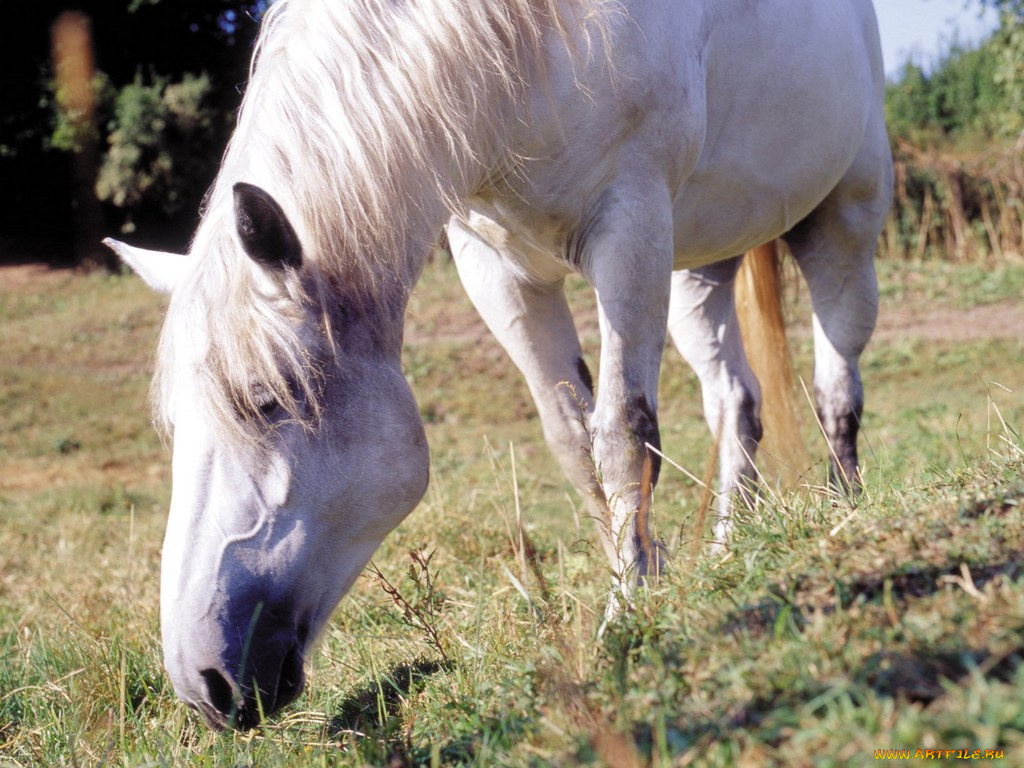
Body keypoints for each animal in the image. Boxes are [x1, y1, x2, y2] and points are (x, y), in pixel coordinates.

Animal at [103, 0, 888, 729]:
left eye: (267, 399)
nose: (205, 685)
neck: (527, 42)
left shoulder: (631, 223)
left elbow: (624, 434)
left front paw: (628, 615)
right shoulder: (499, 270)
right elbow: (575, 444)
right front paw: (646, 573)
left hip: (843, 216)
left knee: (837, 382)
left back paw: (846, 510)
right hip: (703, 264)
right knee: (736, 401)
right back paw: (729, 547)